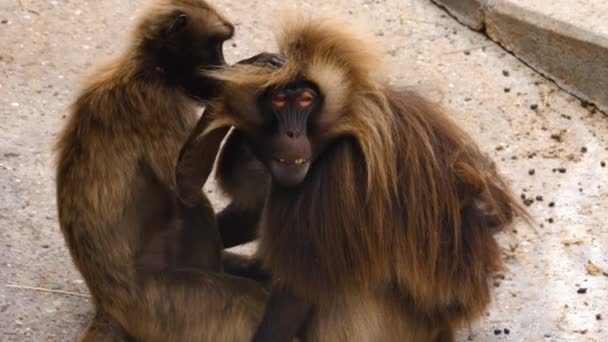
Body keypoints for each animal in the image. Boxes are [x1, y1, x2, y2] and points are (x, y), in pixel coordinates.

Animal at [54, 1, 282, 340]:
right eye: (216, 47)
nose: (222, 66)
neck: (147, 69)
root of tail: (107, 302)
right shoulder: (156, 103)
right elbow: (185, 186)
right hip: (160, 304)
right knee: (193, 207)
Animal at [176, 16, 528, 342]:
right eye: (278, 101)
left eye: (305, 100)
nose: (292, 134)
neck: (343, 126)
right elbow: (239, 209)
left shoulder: (332, 177)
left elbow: (296, 293)